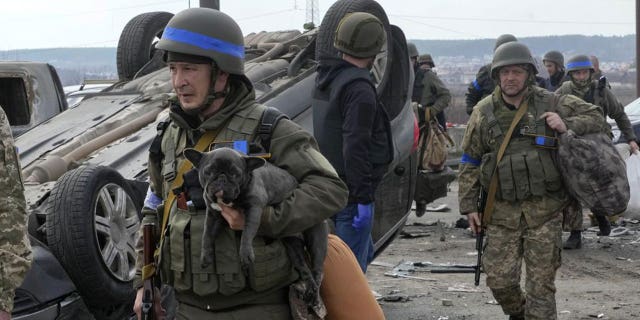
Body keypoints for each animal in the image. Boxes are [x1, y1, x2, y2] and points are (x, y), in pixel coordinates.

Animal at [182, 146, 328, 286]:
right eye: (209, 171)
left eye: (235, 174)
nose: (222, 178)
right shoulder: (213, 214)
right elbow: (206, 235)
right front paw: (205, 256)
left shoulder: (254, 208)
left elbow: (247, 232)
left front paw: (246, 254)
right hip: (292, 244)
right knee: (302, 266)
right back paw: (310, 289)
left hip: (317, 236)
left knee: (318, 265)